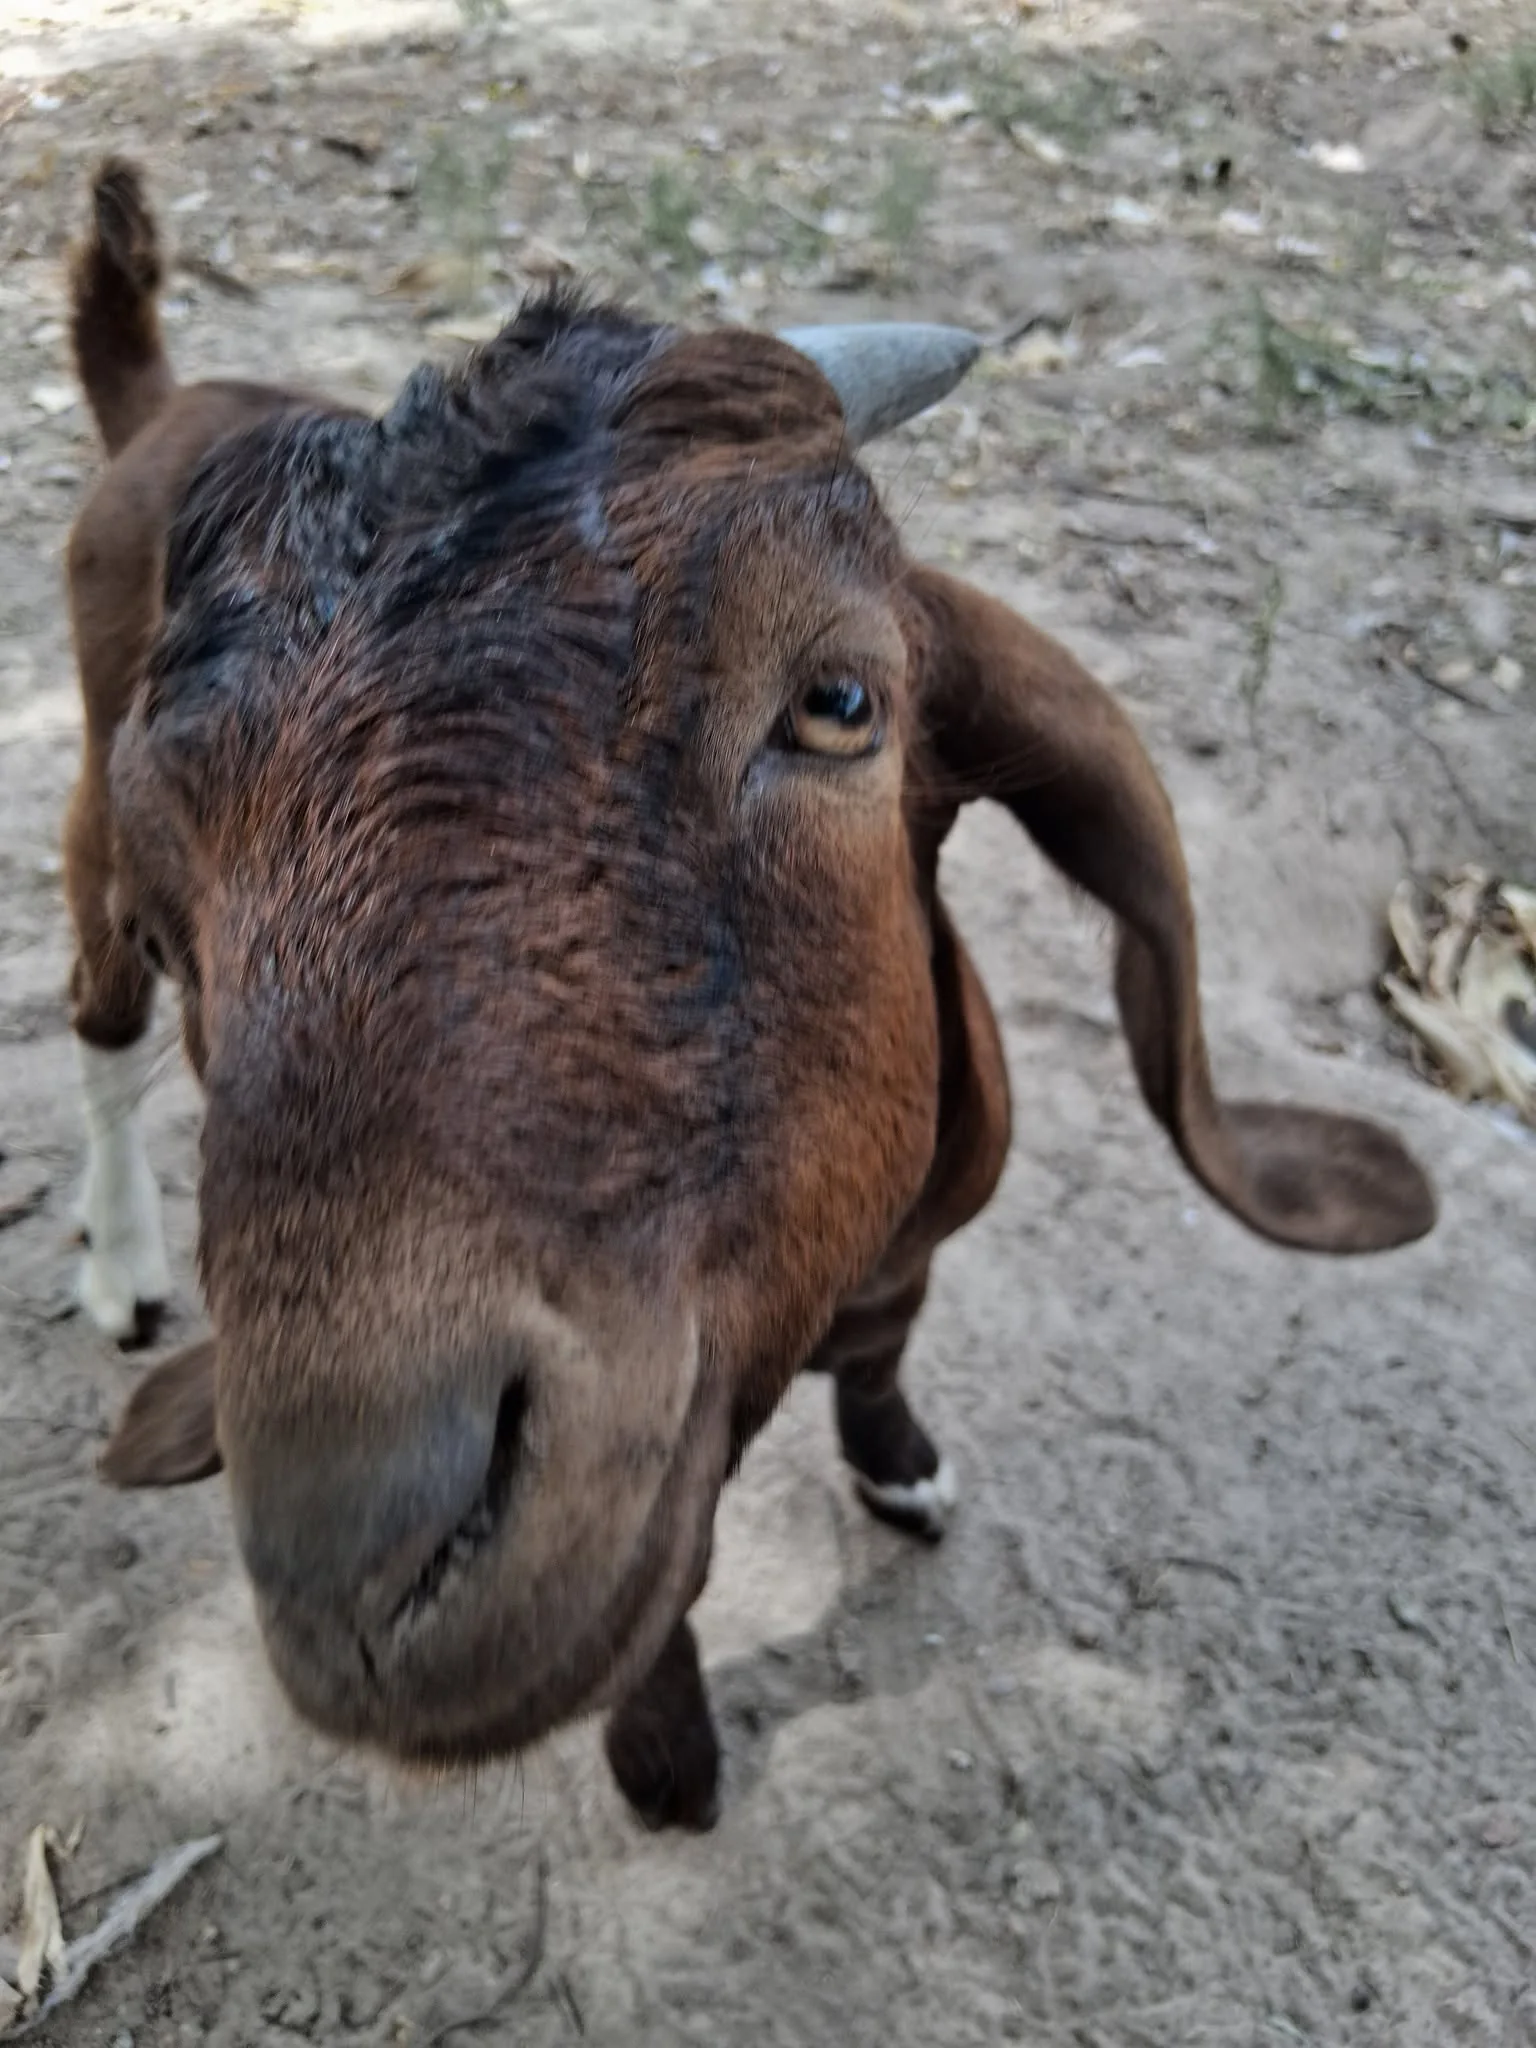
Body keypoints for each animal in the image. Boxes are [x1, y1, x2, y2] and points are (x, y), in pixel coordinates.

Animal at [66, 160, 1435, 1828]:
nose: (367, 1558)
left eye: (840, 702)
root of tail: (167, 400)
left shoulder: (912, 1241)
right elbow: (680, 1573)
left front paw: (902, 1462)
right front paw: (669, 1757)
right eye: (180, 908)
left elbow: (889, 1348)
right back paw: (123, 1266)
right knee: (97, 1028)